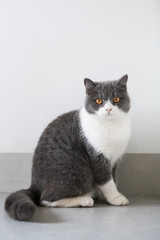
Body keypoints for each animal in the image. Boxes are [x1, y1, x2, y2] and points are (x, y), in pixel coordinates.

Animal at [5, 74, 131, 220]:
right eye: (99, 101)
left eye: (116, 99)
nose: (108, 109)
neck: (110, 125)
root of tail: (34, 186)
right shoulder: (97, 156)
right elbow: (106, 179)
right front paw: (115, 197)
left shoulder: (115, 158)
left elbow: (114, 178)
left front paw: (109, 194)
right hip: (76, 170)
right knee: (46, 199)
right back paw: (83, 199)